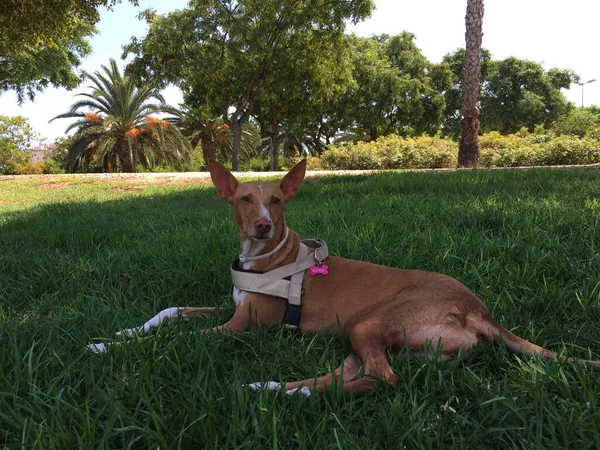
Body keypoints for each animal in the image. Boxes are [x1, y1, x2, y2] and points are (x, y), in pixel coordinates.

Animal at [90, 159, 600, 398]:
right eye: (243, 199)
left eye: (277, 201)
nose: (263, 226)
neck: (265, 258)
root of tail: (480, 310)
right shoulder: (231, 307)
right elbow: (169, 313)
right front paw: (122, 332)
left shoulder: (237, 328)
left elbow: (174, 339)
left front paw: (110, 348)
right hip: (373, 338)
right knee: (347, 375)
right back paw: (272, 389)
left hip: (369, 324)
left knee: (381, 380)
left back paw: (286, 394)